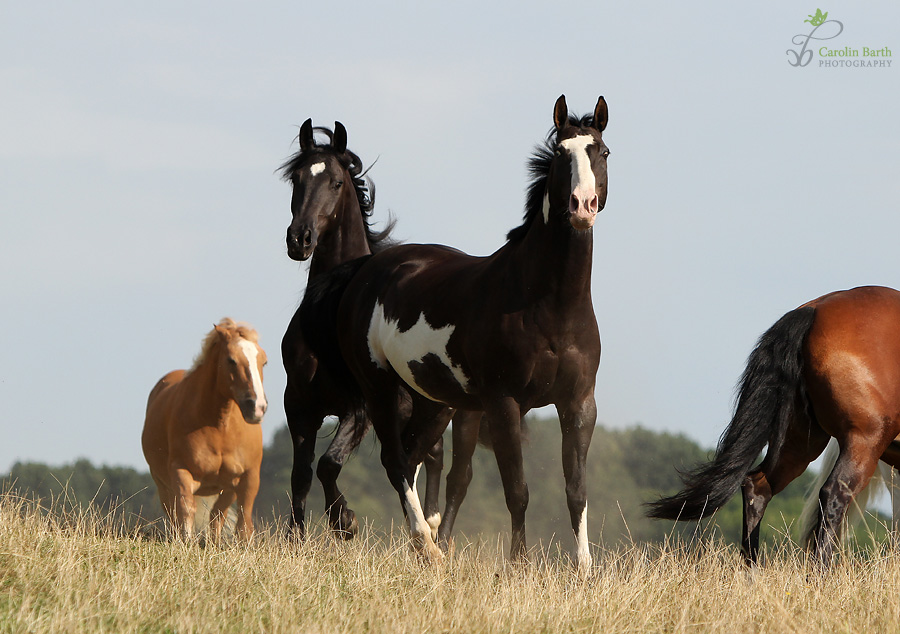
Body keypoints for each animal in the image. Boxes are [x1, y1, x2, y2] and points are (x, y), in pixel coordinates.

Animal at [142, 316, 268, 540]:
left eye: (264, 361)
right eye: (231, 360)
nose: (257, 407)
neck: (221, 429)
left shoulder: (248, 478)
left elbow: (242, 518)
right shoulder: (181, 471)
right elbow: (186, 508)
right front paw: (186, 541)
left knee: (217, 514)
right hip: (163, 484)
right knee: (174, 512)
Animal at [282, 119, 450, 540]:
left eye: (336, 182)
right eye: (295, 179)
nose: (299, 239)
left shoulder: (358, 410)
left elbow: (328, 464)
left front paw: (344, 520)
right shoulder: (299, 405)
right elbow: (300, 474)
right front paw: (295, 537)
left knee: (431, 458)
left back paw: (431, 524)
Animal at [306, 95, 608, 568]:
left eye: (603, 152)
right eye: (561, 154)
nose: (582, 206)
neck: (548, 308)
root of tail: (366, 269)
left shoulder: (578, 403)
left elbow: (576, 492)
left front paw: (584, 572)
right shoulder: (504, 404)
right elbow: (517, 492)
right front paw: (517, 566)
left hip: (432, 402)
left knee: (411, 459)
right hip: (379, 387)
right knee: (395, 460)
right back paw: (424, 546)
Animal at [652, 284, 900, 564]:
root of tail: (814, 309)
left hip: (799, 441)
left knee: (757, 486)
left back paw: (752, 570)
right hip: (864, 440)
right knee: (834, 495)